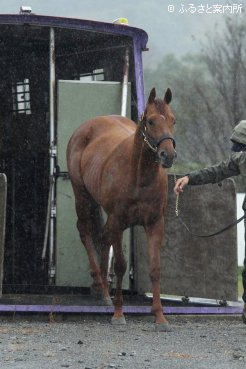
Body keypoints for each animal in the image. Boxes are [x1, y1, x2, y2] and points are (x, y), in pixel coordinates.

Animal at [66, 87, 176, 330]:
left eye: (173, 120)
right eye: (151, 121)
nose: (168, 155)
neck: (139, 177)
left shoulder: (155, 223)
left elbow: (155, 268)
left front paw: (159, 316)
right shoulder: (118, 221)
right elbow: (120, 265)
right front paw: (118, 314)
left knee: (102, 236)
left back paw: (104, 292)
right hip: (82, 196)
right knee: (85, 231)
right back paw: (100, 285)